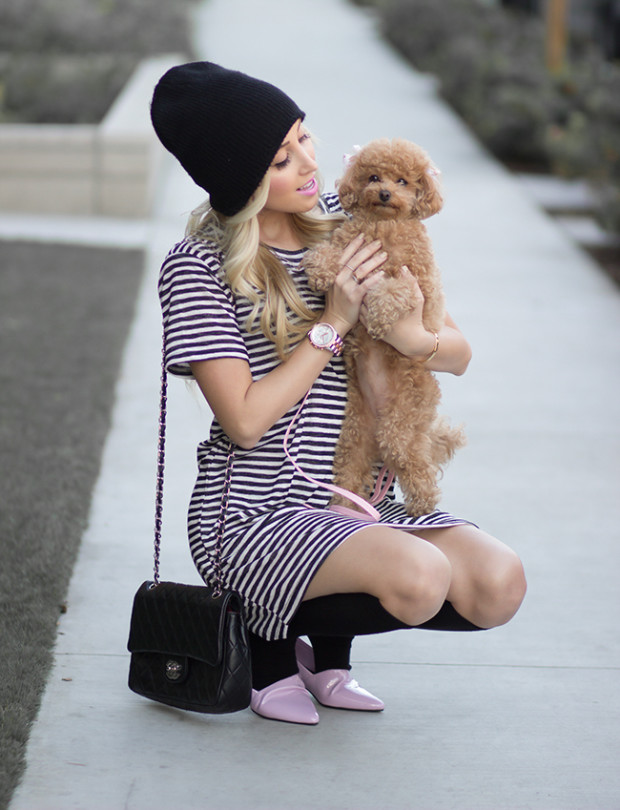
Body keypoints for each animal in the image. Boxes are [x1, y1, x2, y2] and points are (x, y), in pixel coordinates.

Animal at [306, 133, 464, 512]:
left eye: (403, 181)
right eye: (374, 177)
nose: (384, 194)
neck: (383, 225)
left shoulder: (418, 283)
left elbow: (393, 289)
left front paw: (378, 316)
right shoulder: (348, 243)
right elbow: (327, 253)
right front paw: (320, 270)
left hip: (403, 420)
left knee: (414, 460)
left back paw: (422, 503)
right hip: (355, 433)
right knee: (352, 468)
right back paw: (345, 506)